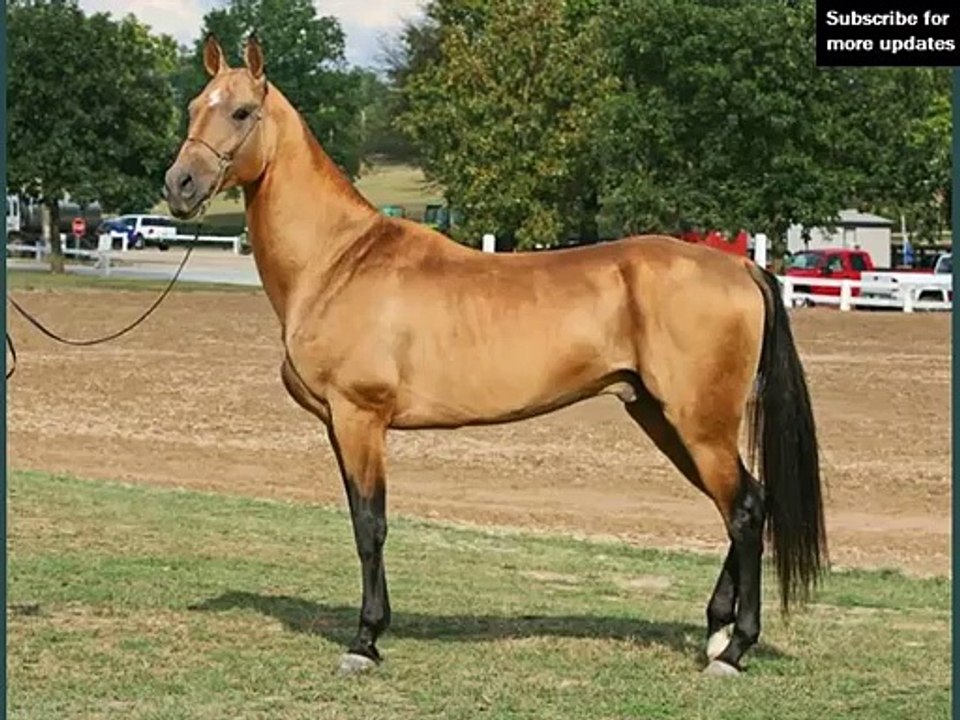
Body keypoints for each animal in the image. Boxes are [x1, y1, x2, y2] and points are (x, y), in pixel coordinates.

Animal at [163, 33, 826, 678]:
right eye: (194, 107)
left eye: (242, 111)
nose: (179, 186)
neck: (338, 260)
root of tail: (740, 266)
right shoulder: (338, 424)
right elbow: (362, 520)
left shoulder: (360, 419)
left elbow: (370, 526)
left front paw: (365, 641)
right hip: (661, 418)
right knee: (743, 506)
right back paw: (716, 635)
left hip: (699, 423)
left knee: (745, 510)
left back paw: (734, 651)